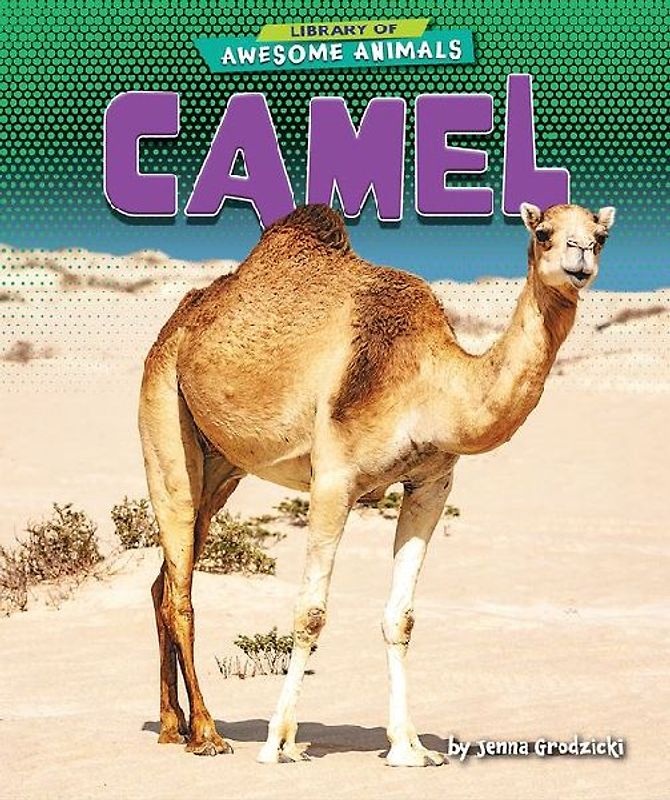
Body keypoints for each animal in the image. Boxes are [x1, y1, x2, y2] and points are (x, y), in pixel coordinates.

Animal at [139, 200, 615, 766]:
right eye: (543, 233)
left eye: (600, 236)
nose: (580, 259)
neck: (430, 385)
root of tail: (177, 324)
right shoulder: (334, 478)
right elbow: (310, 613)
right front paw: (280, 741)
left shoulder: (431, 484)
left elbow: (400, 618)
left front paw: (409, 747)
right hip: (163, 414)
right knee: (181, 589)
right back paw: (207, 734)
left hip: (221, 466)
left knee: (163, 582)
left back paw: (173, 726)